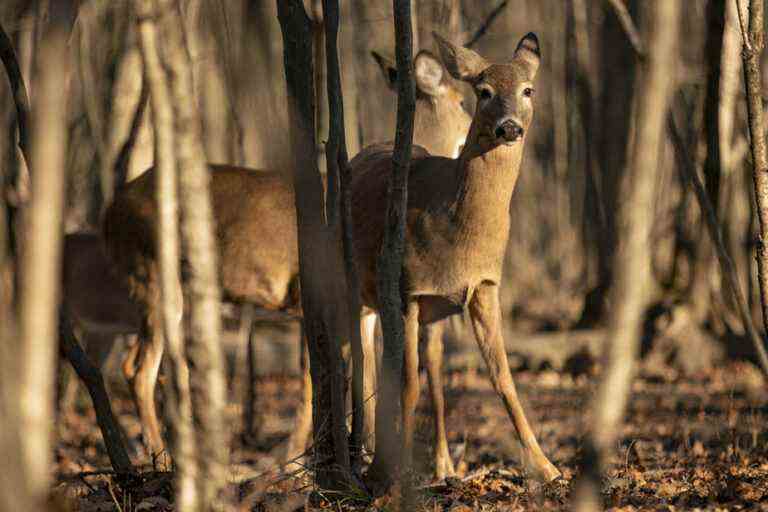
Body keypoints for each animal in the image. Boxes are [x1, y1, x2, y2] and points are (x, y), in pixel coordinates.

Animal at [99, 48, 472, 462]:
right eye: (462, 100)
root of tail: (111, 211)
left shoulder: (365, 309)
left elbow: (368, 378)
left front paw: (366, 451)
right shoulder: (319, 295)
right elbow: (316, 382)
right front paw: (296, 457)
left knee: (146, 365)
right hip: (152, 273)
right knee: (139, 370)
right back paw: (161, 456)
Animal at [352, 33, 560, 484]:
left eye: (528, 90)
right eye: (482, 92)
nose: (509, 127)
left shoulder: (483, 286)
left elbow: (502, 378)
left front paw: (547, 467)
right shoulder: (408, 289)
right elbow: (407, 384)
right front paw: (401, 477)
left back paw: (433, 464)